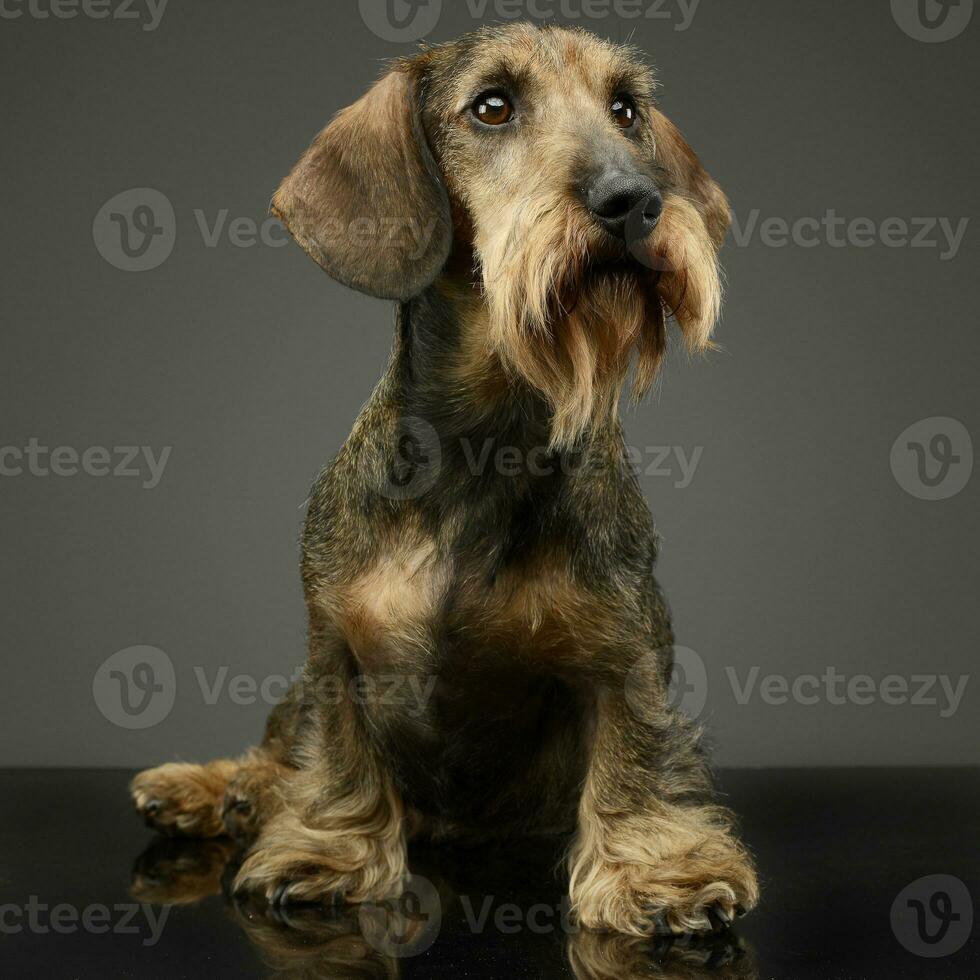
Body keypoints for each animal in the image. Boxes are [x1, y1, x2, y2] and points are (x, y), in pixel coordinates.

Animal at [130, 23, 756, 936]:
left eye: (625, 109)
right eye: (491, 106)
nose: (634, 201)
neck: (482, 447)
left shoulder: (623, 651)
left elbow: (635, 755)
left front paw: (656, 871)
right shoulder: (335, 642)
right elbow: (335, 756)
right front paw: (329, 849)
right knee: (277, 749)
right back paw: (211, 787)